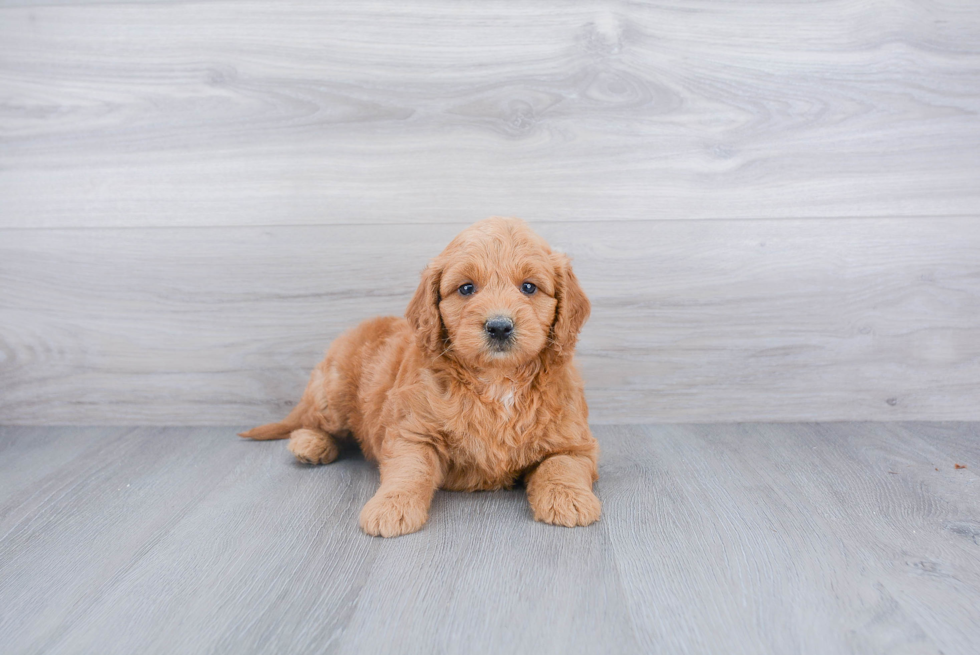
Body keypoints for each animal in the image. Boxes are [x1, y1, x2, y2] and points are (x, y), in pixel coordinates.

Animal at [241, 218, 600, 536]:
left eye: (529, 287)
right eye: (466, 289)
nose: (499, 326)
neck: (497, 381)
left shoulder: (574, 441)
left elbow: (561, 465)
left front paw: (569, 499)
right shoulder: (412, 432)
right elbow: (410, 470)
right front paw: (392, 507)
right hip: (334, 395)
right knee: (314, 422)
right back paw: (310, 443)